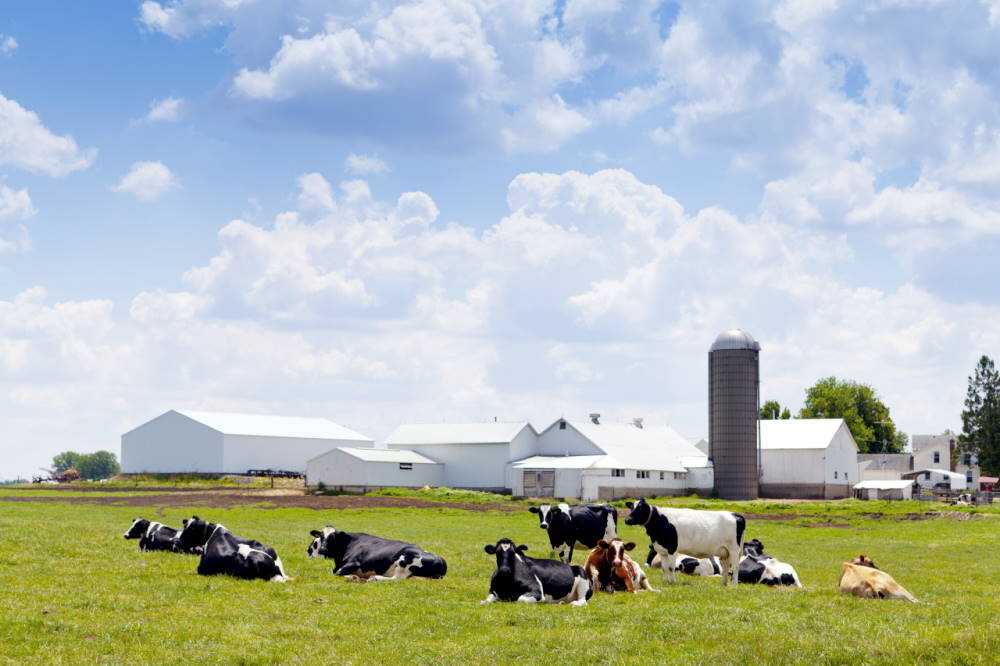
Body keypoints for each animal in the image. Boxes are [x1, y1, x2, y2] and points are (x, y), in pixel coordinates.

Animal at [304, 520, 446, 580]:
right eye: (321, 536)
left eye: (333, 537)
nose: (323, 550)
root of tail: (440, 559)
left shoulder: (355, 562)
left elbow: (336, 573)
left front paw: (352, 576)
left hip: (403, 561)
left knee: (397, 578)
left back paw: (375, 578)